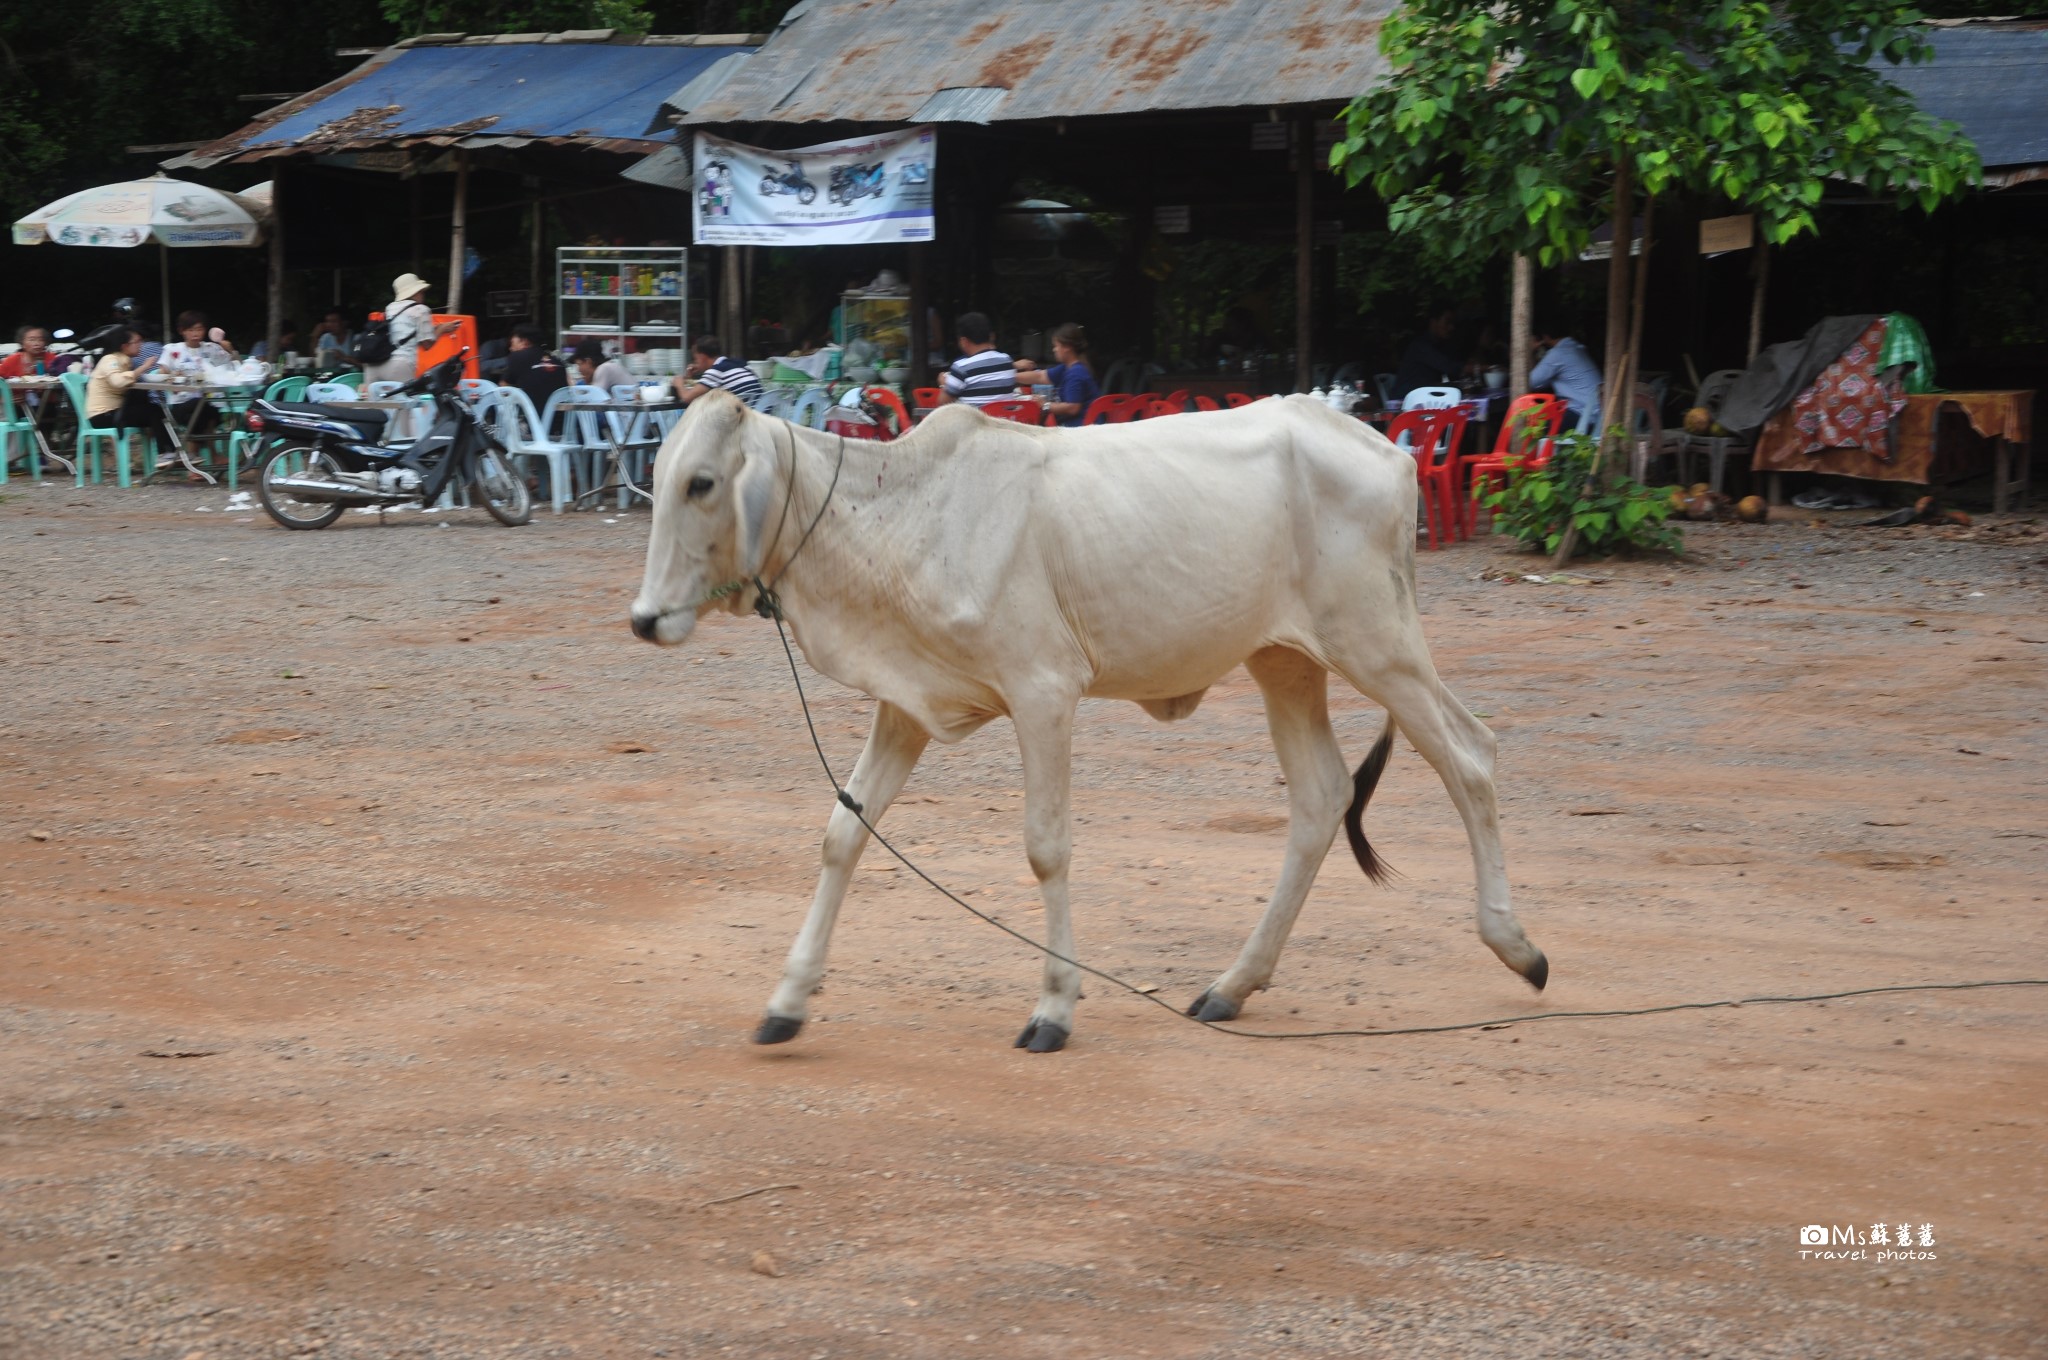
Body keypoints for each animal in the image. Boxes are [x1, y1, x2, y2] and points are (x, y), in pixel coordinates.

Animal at [630, 393, 1540, 1048]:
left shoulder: (1044, 693)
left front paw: (1055, 1009)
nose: (644, 620)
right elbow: (843, 834)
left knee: (1471, 755)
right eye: (660, 475)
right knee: (1321, 799)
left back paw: (1518, 947)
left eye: (701, 482)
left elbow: (1046, 849)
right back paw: (1232, 986)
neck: (898, 514)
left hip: (1377, 645)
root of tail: (1386, 447)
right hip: (1285, 660)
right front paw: (788, 999)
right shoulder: (906, 705)